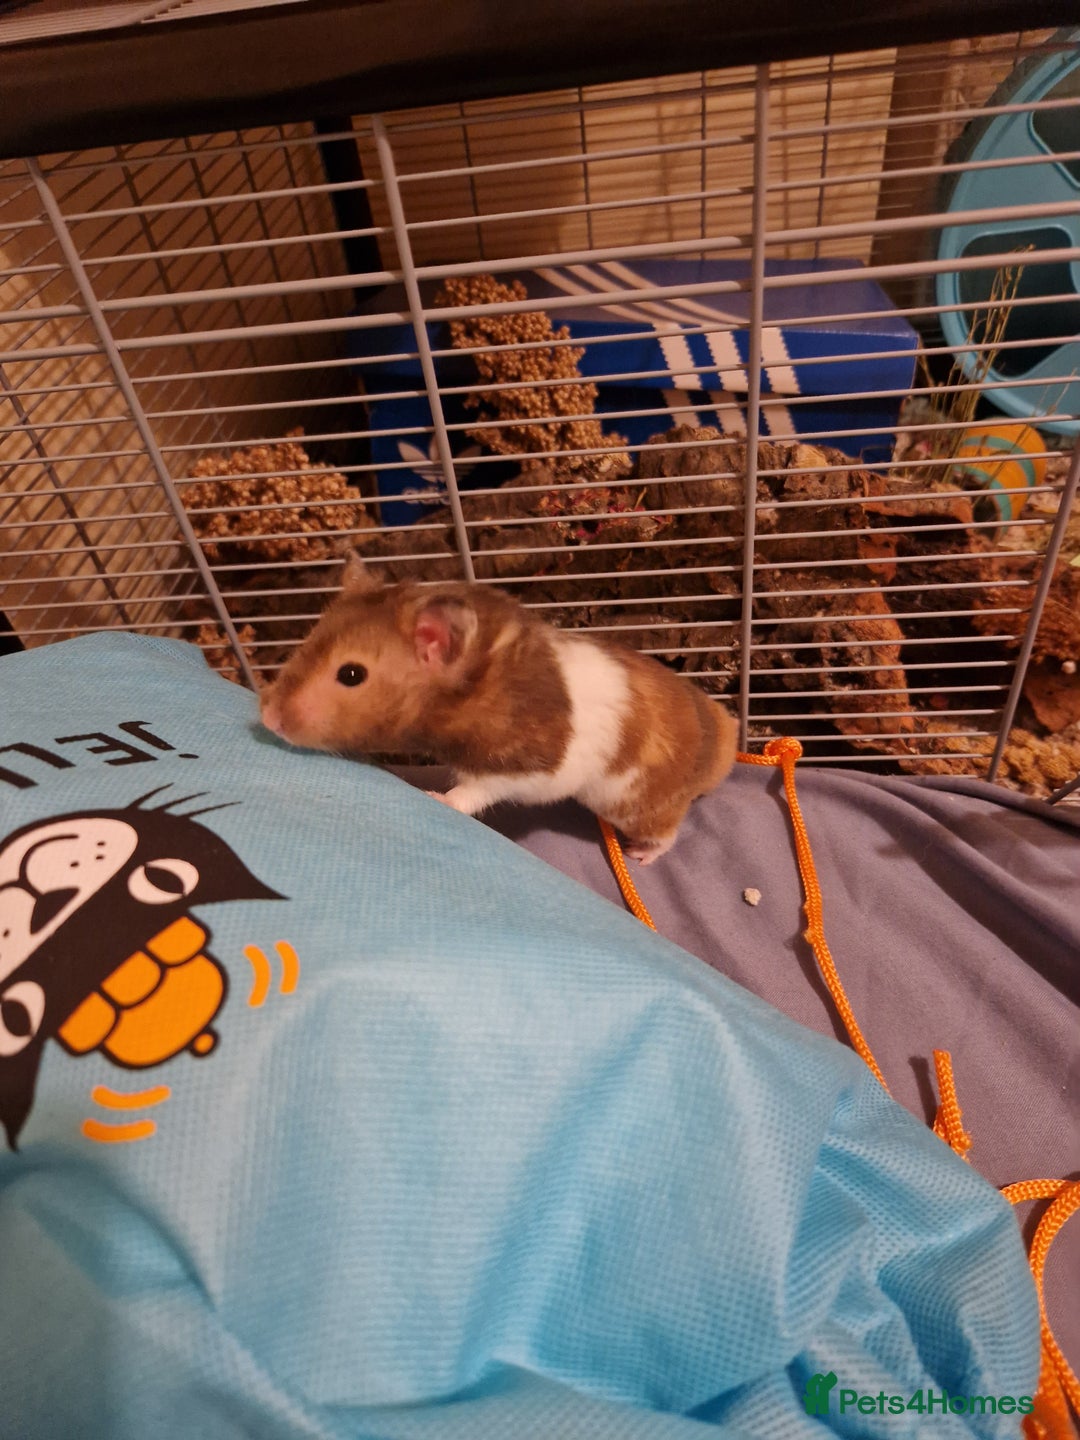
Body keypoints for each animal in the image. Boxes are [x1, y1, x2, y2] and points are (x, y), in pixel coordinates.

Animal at [260, 555, 736, 864]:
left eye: (351, 674)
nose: (266, 717)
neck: (475, 681)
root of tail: (728, 737)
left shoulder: (525, 766)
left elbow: (475, 790)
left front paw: (436, 799)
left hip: (638, 803)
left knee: (668, 832)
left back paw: (640, 856)